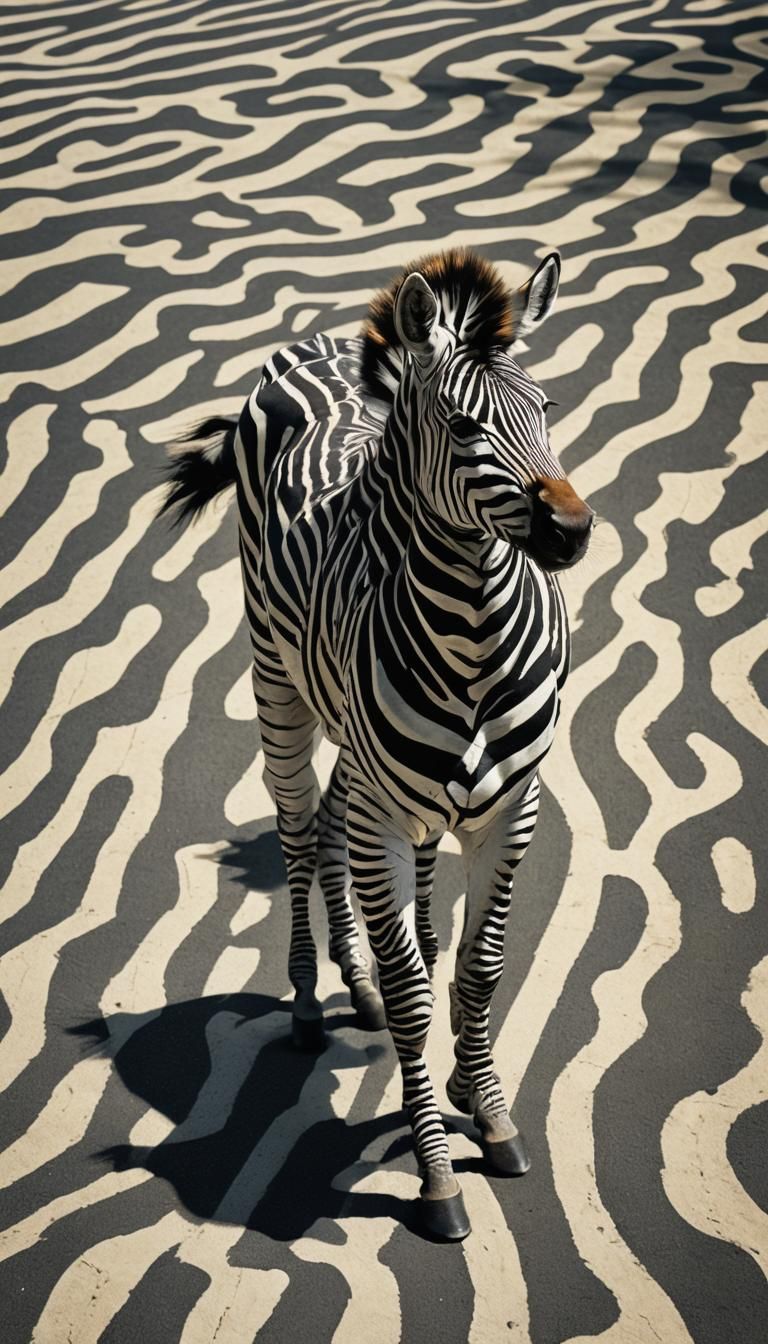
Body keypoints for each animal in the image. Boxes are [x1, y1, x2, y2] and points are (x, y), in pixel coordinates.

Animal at [160, 248, 594, 1240]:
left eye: (548, 407)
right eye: (466, 425)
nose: (572, 529)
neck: (473, 637)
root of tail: (308, 345)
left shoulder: (512, 811)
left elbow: (477, 970)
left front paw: (488, 1109)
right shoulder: (389, 819)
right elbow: (412, 994)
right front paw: (435, 1168)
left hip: (371, 771)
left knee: (333, 828)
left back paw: (356, 986)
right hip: (279, 686)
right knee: (296, 829)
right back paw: (311, 998)